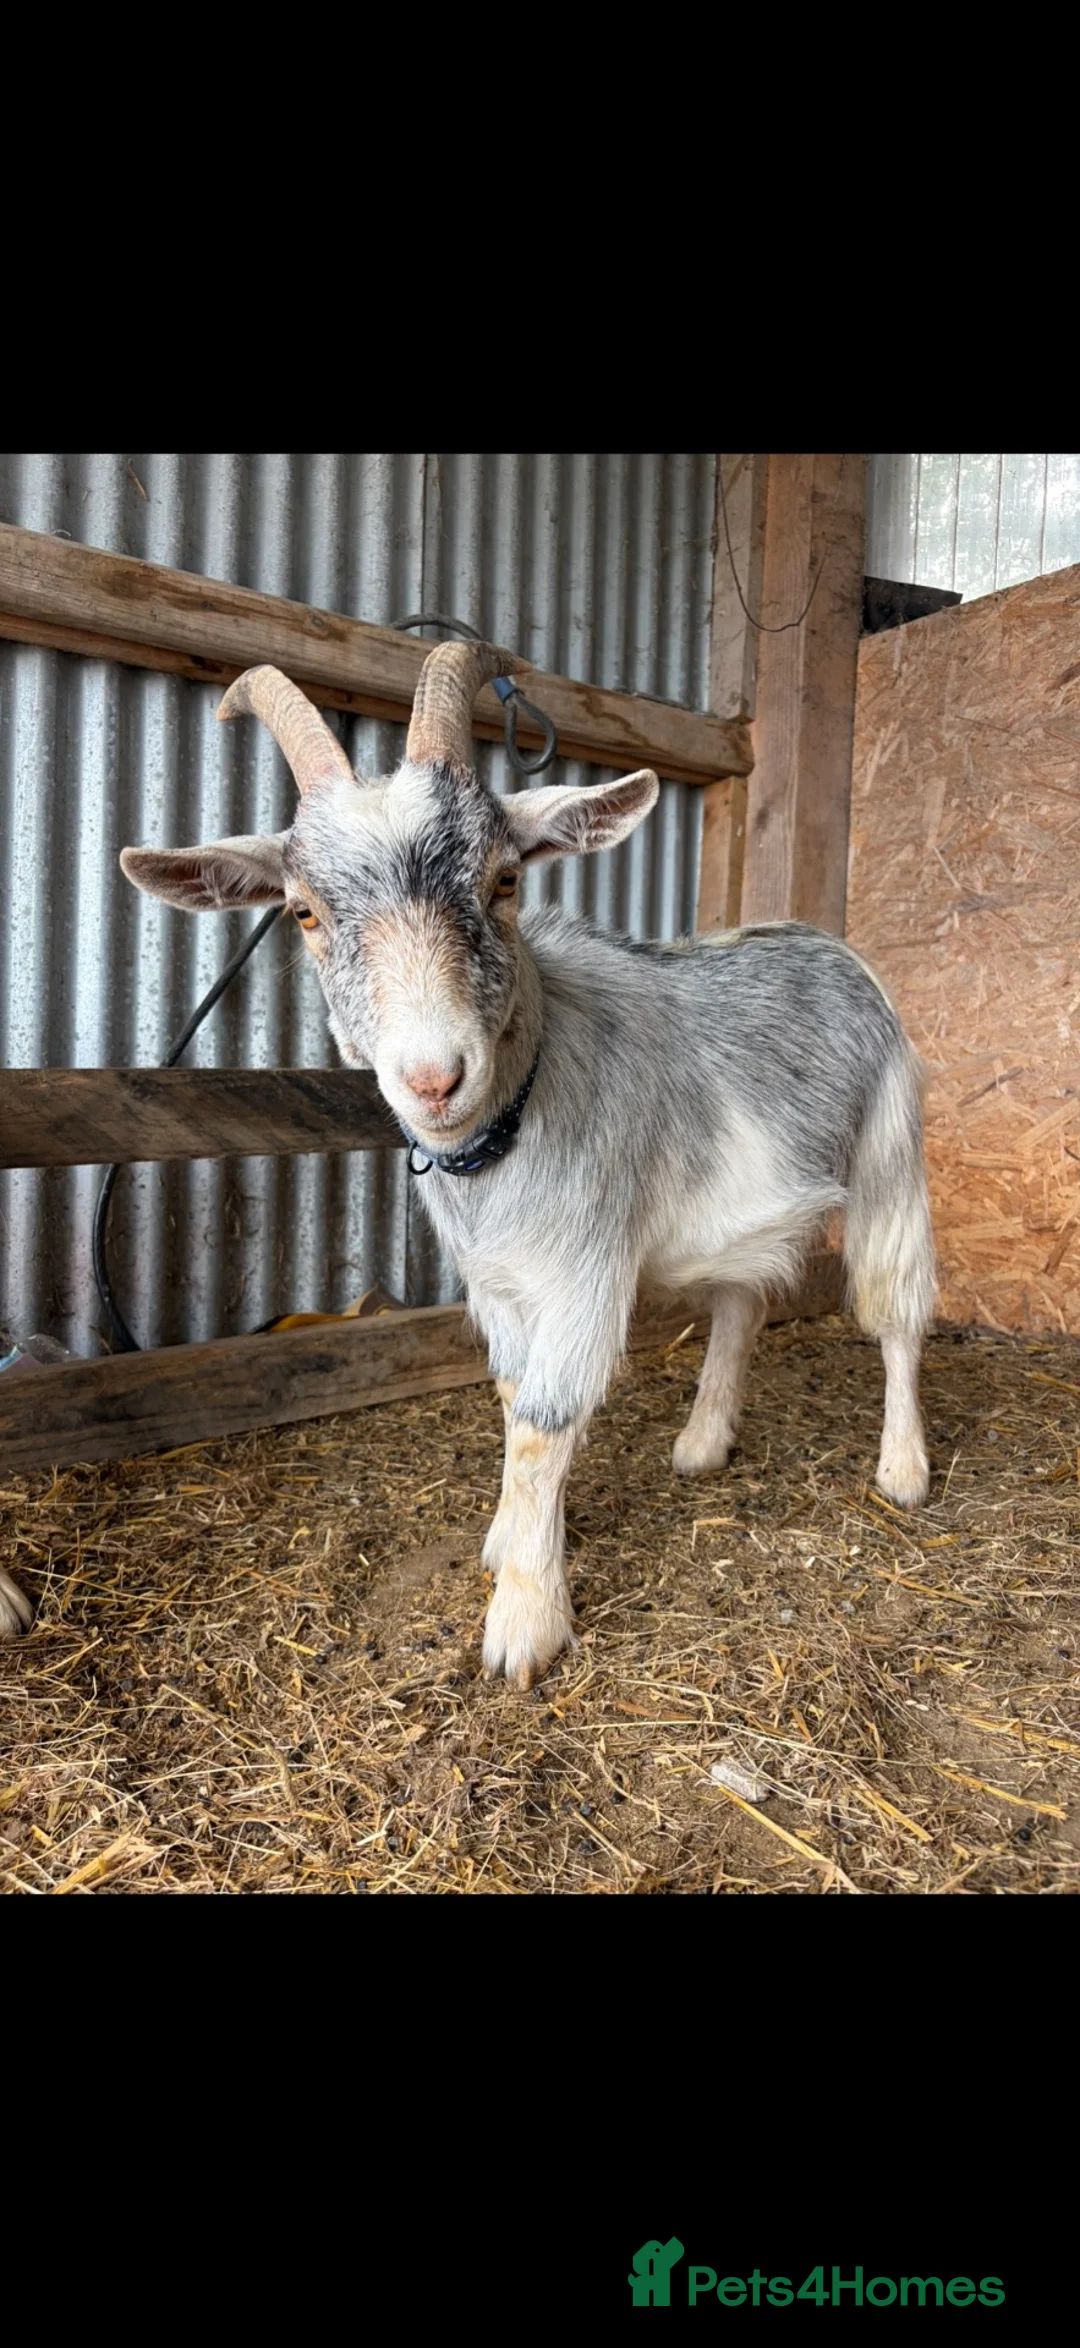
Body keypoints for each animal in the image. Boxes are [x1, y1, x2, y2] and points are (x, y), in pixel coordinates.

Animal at [118, 645, 936, 1688]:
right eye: (302, 911)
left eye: (505, 880)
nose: (433, 1078)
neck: (511, 1127)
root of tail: (826, 940)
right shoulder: (498, 1281)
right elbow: (511, 1403)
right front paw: (509, 1542)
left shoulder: (584, 1269)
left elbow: (547, 1419)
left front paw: (524, 1623)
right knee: (741, 1302)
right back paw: (703, 1442)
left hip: (891, 1152)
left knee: (896, 1309)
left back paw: (903, 1470)